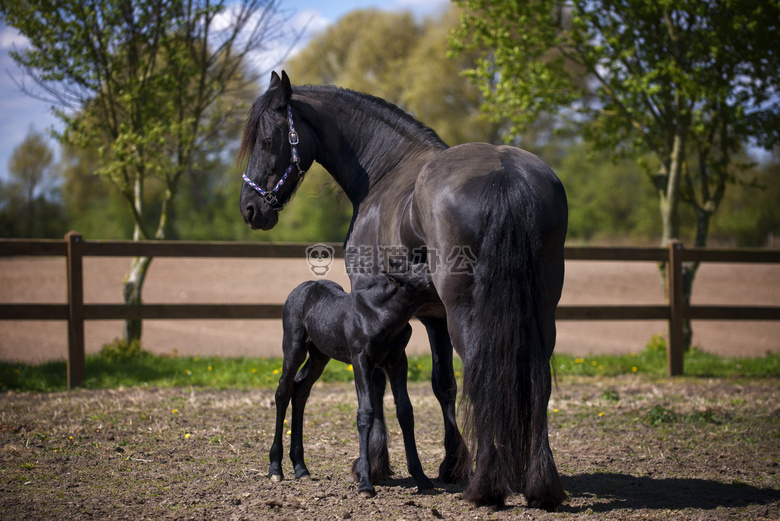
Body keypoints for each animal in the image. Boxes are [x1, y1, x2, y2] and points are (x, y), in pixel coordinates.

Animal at [268, 264, 438, 496]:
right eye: (428, 281)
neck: (380, 315)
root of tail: (301, 288)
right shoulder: (360, 360)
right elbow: (365, 413)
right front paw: (365, 484)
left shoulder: (397, 361)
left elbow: (405, 411)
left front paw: (422, 478)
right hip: (294, 347)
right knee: (283, 391)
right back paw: (275, 468)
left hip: (320, 355)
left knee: (301, 391)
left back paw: (301, 468)